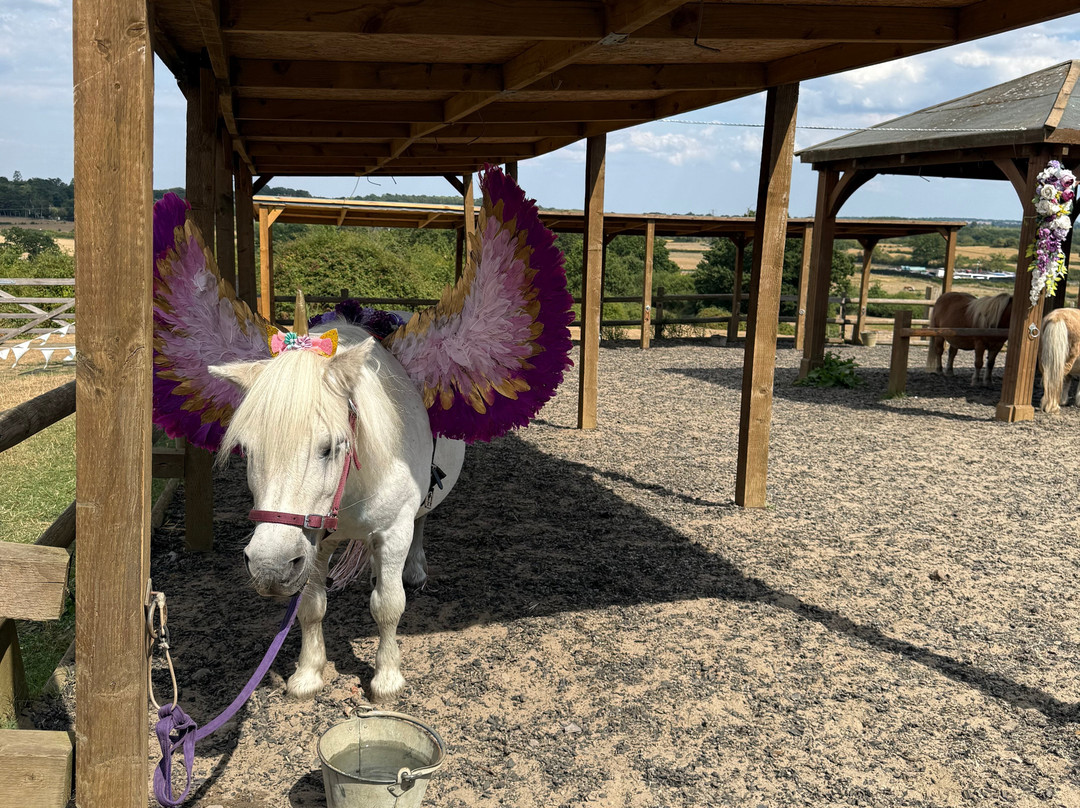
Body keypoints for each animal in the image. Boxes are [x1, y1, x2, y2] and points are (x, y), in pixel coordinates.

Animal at [210, 318, 466, 702]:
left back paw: (415, 569)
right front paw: (308, 673)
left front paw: (387, 679)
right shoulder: (313, 545)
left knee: (422, 520)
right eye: (247, 450)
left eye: (329, 447)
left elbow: (388, 605)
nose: (269, 567)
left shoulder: (394, 531)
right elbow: (311, 606)